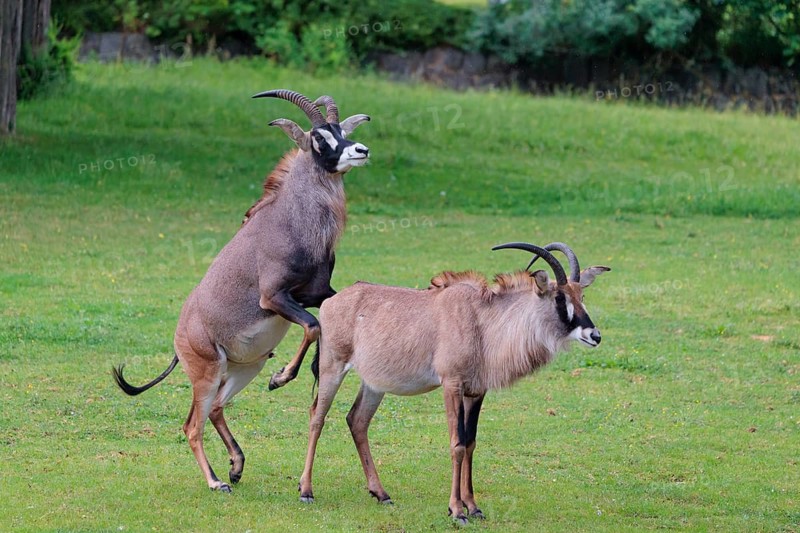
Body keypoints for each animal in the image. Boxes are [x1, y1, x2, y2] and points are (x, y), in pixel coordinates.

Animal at [112, 90, 371, 492]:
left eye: (343, 131)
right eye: (318, 138)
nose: (360, 150)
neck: (291, 220)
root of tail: (179, 337)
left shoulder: (315, 293)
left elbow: (324, 317)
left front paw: (308, 369)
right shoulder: (274, 297)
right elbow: (313, 326)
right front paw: (281, 378)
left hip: (244, 367)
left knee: (216, 408)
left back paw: (235, 466)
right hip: (208, 371)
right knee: (192, 425)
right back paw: (217, 481)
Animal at [299, 242, 610, 523]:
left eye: (581, 294)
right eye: (559, 298)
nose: (594, 335)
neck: (483, 322)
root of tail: (332, 301)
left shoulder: (476, 391)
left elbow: (470, 443)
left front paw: (473, 507)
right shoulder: (451, 385)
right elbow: (457, 443)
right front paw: (456, 511)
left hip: (374, 384)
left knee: (357, 421)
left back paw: (381, 493)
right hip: (333, 367)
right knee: (317, 417)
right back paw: (306, 491)